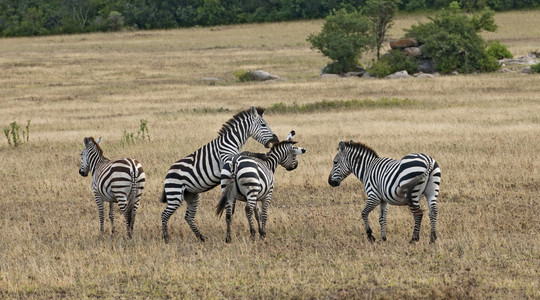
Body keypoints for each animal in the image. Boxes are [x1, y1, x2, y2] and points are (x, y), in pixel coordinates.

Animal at [159, 105, 278, 241]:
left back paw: (201, 237)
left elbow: (244, 153)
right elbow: (244, 152)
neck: (230, 143)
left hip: (192, 195)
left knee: (188, 217)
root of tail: (168, 172)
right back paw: (166, 238)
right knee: (164, 214)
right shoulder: (226, 159)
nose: (276, 139)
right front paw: (263, 155)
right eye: (263, 124)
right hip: (175, 194)